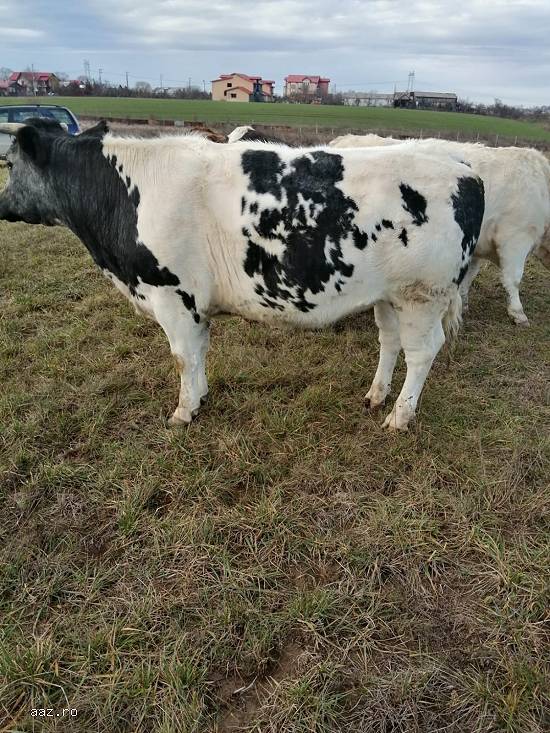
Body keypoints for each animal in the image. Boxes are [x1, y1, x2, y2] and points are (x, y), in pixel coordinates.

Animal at [0, 118, 485, 430]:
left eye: (9, 163)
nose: (3, 205)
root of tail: (463, 168)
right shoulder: (194, 304)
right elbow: (198, 353)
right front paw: (200, 397)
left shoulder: (171, 295)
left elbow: (182, 356)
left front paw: (183, 412)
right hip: (388, 295)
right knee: (390, 342)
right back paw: (377, 394)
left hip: (423, 294)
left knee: (421, 353)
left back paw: (399, 416)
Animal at [329, 133, 550, 326]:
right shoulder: (515, 237)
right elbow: (514, 278)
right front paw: (518, 313)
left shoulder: (476, 245)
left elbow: (470, 275)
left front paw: (464, 303)